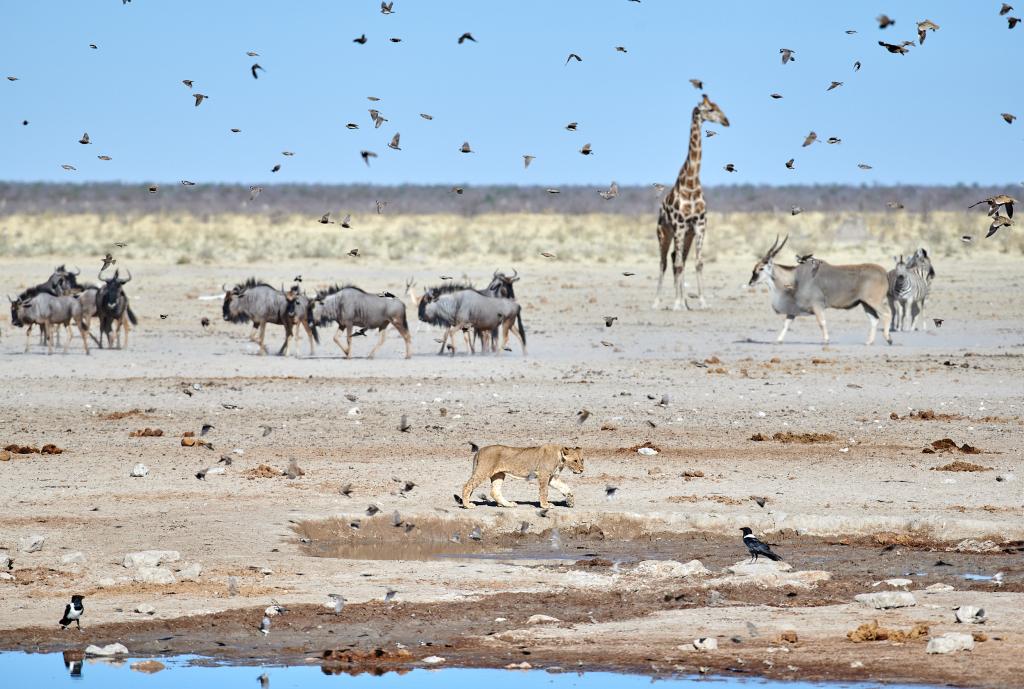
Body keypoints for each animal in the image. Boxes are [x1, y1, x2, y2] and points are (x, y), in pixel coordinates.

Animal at [655, 94, 729, 309]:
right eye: (709, 109)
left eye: (718, 106)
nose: (726, 121)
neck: (691, 182)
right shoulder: (679, 225)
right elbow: (679, 264)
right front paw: (676, 304)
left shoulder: (700, 225)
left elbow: (698, 262)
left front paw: (702, 302)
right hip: (664, 233)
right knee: (665, 261)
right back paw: (658, 301)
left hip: (687, 235)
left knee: (676, 259)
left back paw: (685, 302)